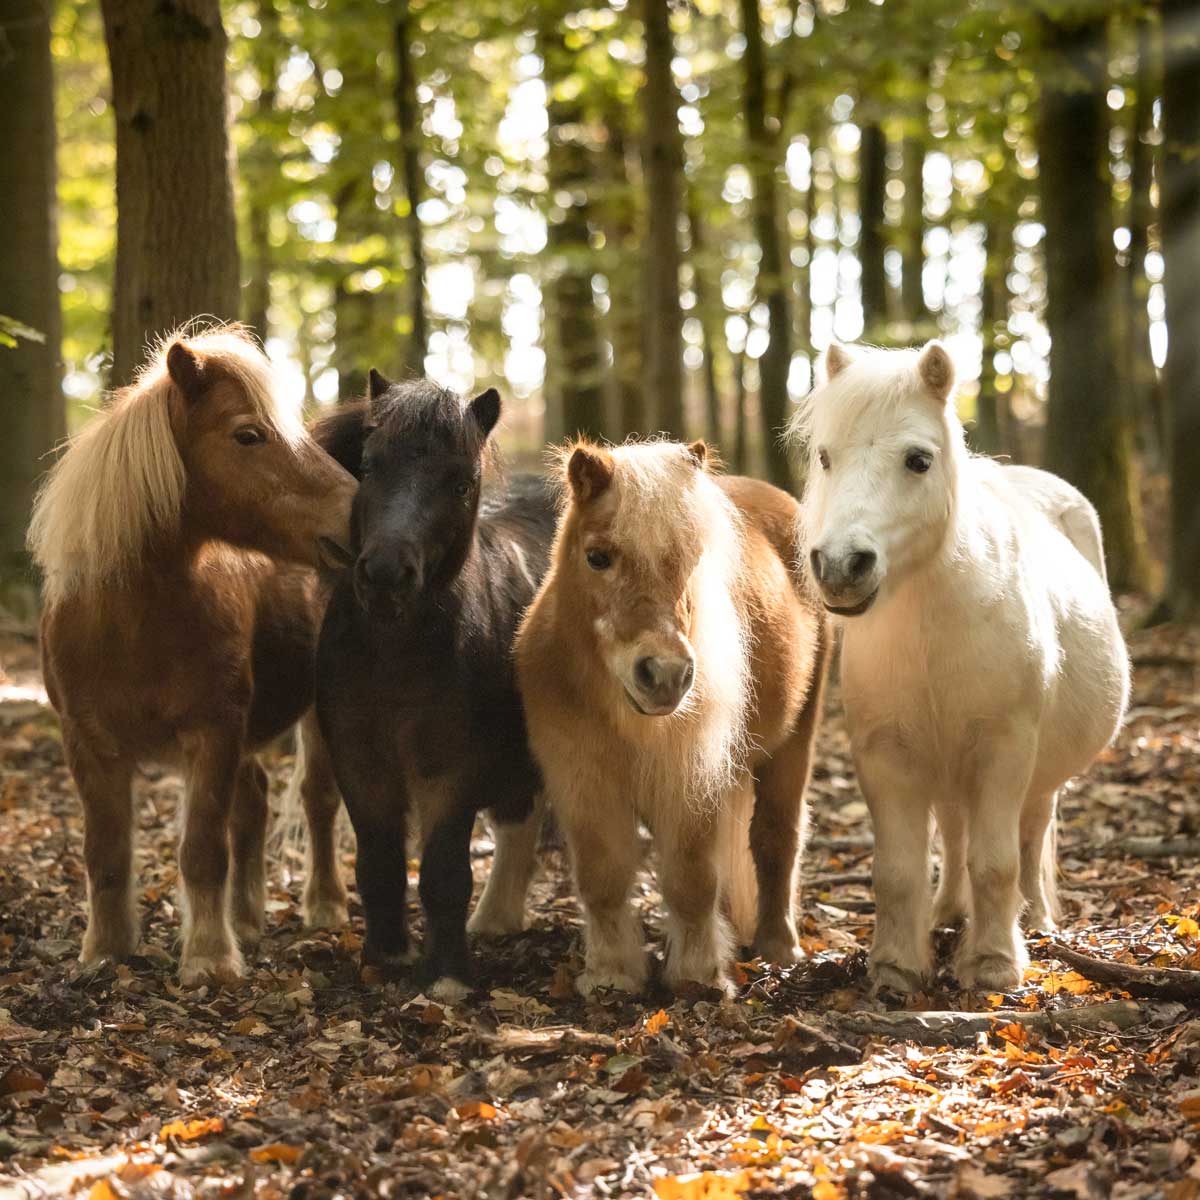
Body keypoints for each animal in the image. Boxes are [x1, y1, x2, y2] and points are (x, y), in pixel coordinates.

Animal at [28, 326, 355, 984]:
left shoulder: (214, 732)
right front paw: (105, 951)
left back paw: (324, 906)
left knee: (317, 800)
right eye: (248, 434)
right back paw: (249, 918)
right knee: (253, 801)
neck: (131, 627)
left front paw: (208, 958)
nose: (362, 514)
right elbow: (105, 853)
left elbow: (203, 848)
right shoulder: (88, 744)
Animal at [309, 369, 552, 998]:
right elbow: (379, 863)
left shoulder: (450, 772)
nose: (385, 574)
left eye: (461, 483)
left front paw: (446, 974)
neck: (394, 656)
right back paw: (496, 921)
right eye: (369, 464)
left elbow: (443, 872)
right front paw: (385, 954)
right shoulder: (360, 765)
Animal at [511, 439, 830, 993]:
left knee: (777, 839)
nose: (664, 674)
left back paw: (778, 947)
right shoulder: (583, 781)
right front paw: (612, 974)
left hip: (793, 747)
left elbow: (690, 878)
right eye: (598, 557)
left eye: (692, 559)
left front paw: (698, 975)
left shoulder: (688, 781)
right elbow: (602, 877)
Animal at [796, 340, 1123, 993]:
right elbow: (898, 870)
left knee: (1030, 834)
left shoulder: (1004, 750)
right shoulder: (887, 755)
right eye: (825, 456)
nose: (841, 565)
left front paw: (993, 963)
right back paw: (947, 915)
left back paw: (1036, 922)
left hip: (1035, 775)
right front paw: (897, 966)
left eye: (918, 460)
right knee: (951, 831)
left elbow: (996, 862)